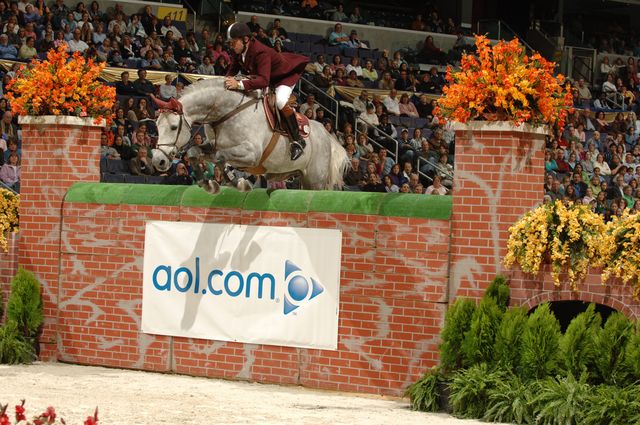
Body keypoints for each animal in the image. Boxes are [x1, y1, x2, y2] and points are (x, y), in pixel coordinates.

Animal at [151, 77, 350, 193]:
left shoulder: (251, 154)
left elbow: (220, 157)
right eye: (157, 127)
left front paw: (236, 181)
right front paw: (207, 183)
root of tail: (327, 134)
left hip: (315, 179)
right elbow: (194, 151)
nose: (158, 161)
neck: (226, 112)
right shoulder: (212, 145)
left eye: (173, 127)